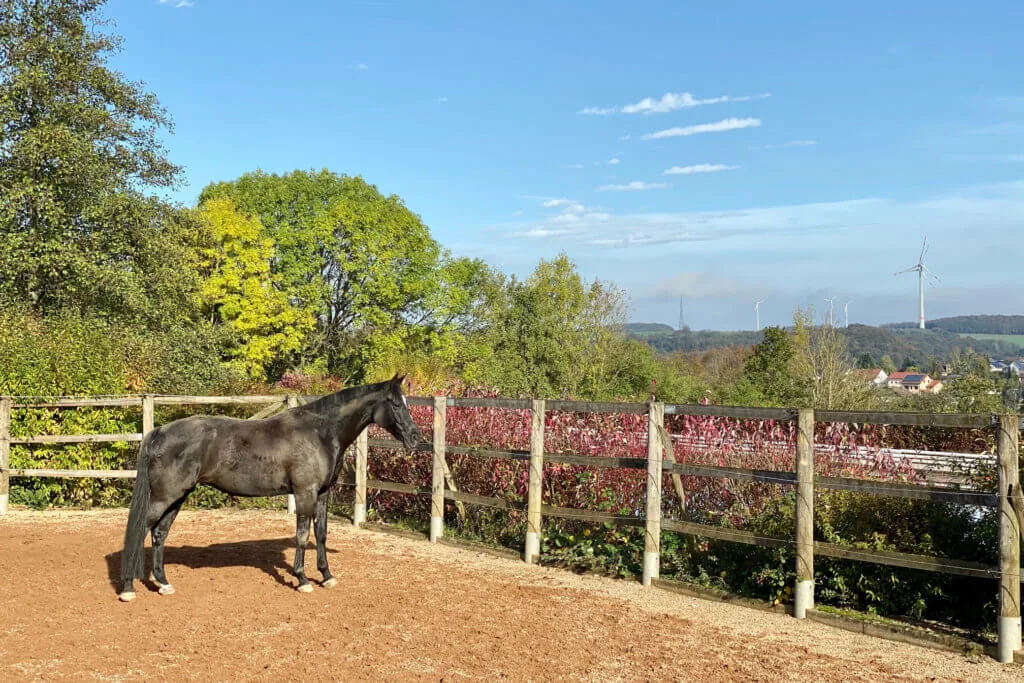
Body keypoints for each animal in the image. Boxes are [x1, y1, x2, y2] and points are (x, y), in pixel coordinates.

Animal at [118, 374, 422, 602]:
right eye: (395, 403)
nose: (416, 439)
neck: (320, 433)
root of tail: (159, 432)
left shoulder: (323, 494)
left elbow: (321, 535)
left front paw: (326, 576)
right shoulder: (305, 493)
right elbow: (302, 536)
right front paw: (302, 579)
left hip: (177, 497)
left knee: (159, 534)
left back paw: (163, 583)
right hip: (163, 497)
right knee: (140, 532)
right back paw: (128, 588)